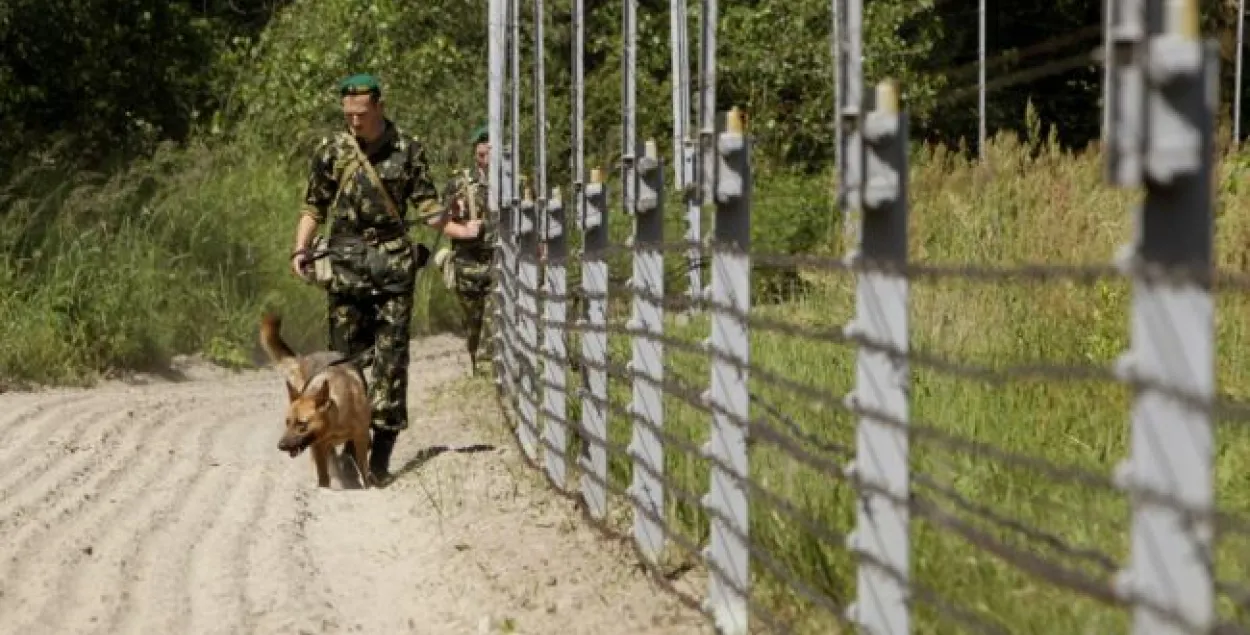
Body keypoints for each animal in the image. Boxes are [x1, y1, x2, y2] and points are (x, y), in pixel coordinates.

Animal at [253, 315, 370, 487]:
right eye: (287, 422)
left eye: (302, 424)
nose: (281, 446)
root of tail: (305, 358)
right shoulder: (318, 446)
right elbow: (323, 477)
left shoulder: (361, 438)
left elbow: (364, 470)